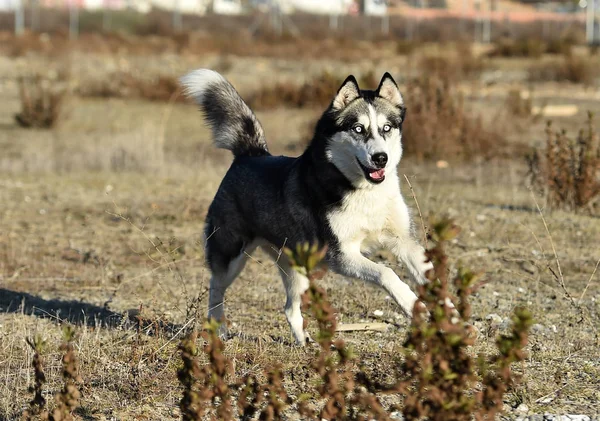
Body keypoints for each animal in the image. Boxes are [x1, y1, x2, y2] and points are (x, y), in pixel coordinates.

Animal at [179, 69, 432, 344]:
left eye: (387, 128)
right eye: (358, 129)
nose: (380, 158)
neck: (363, 191)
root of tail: (251, 155)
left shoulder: (404, 241)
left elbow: (427, 271)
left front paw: (447, 311)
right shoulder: (341, 256)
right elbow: (386, 273)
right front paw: (413, 305)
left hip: (296, 268)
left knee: (289, 307)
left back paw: (303, 341)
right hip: (231, 255)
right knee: (215, 290)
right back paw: (220, 331)